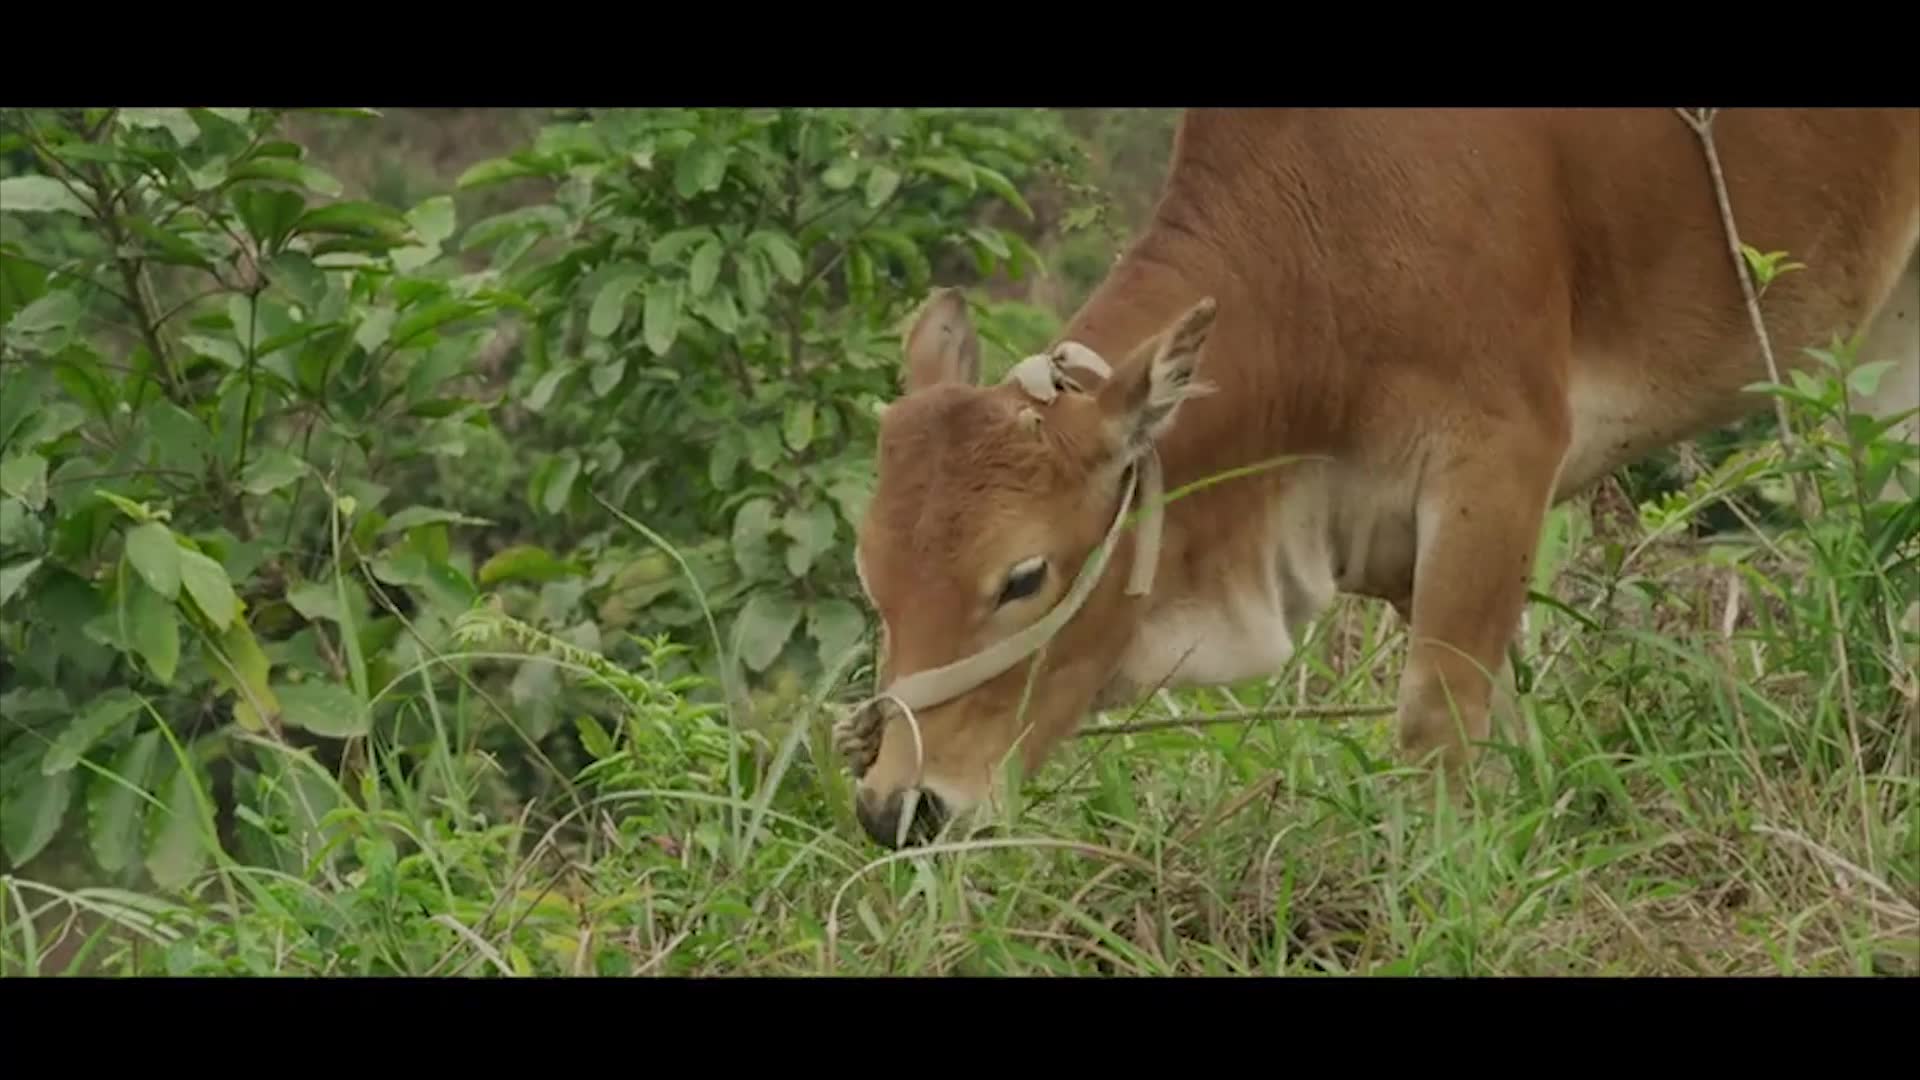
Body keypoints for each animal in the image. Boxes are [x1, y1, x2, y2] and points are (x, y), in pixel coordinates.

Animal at [837, 109, 1920, 849]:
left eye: (1022, 578)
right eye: (872, 580)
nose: (899, 808)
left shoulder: (1499, 460)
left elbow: (1434, 729)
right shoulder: (1394, 542)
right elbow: (1499, 738)